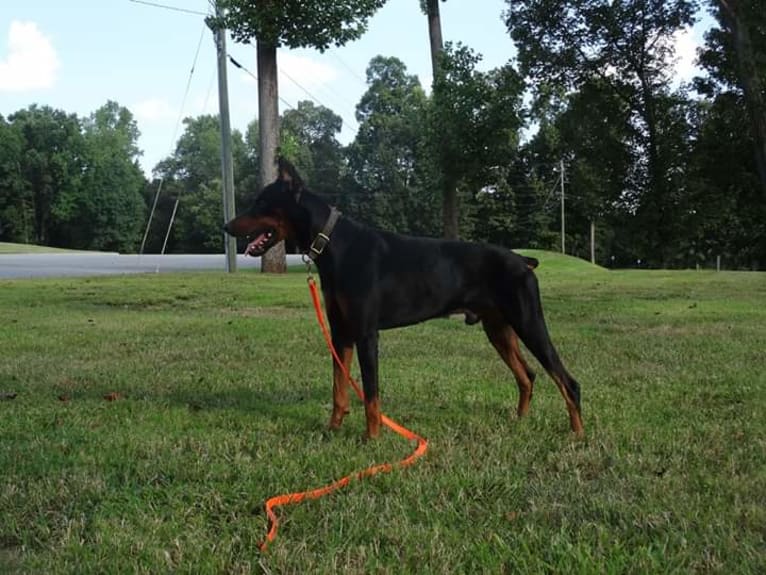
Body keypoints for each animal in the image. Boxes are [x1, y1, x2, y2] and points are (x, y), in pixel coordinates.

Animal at [225, 160, 584, 438]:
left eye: (260, 202)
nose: (227, 225)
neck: (334, 244)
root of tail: (523, 260)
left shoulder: (366, 333)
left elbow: (371, 393)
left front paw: (371, 439)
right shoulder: (340, 333)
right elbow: (339, 388)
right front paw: (333, 429)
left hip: (528, 321)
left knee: (567, 381)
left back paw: (577, 434)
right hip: (498, 328)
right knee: (528, 376)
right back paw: (519, 420)